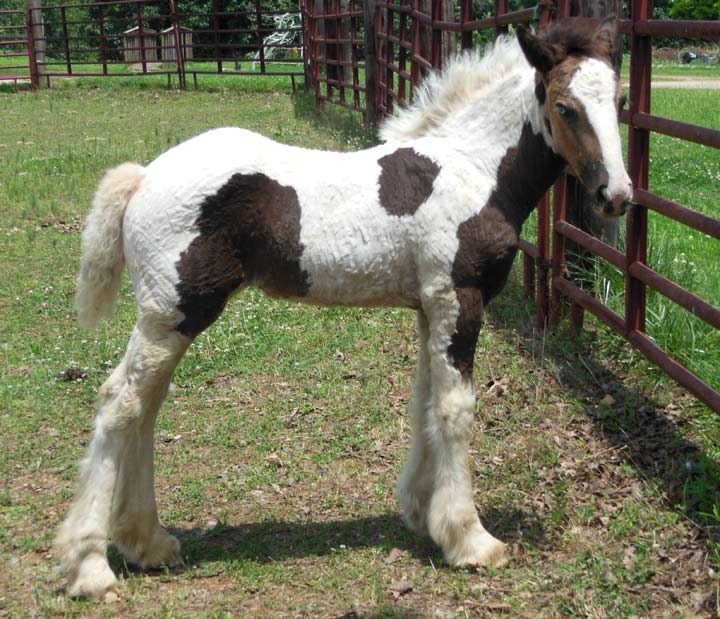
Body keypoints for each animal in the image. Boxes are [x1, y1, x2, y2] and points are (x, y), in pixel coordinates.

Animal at [54, 20, 632, 600]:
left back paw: (147, 542)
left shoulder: (428, 306)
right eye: (564, 106)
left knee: (145, 407)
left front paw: (421, 513)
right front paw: (470, 539)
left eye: (621, 99)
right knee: (121, 402)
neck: (473, 168)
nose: (617, 195)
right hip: (174, 312)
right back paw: (91, 566)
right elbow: (455, 409)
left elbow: (423, 401)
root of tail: (143, 177)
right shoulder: (458, 300)